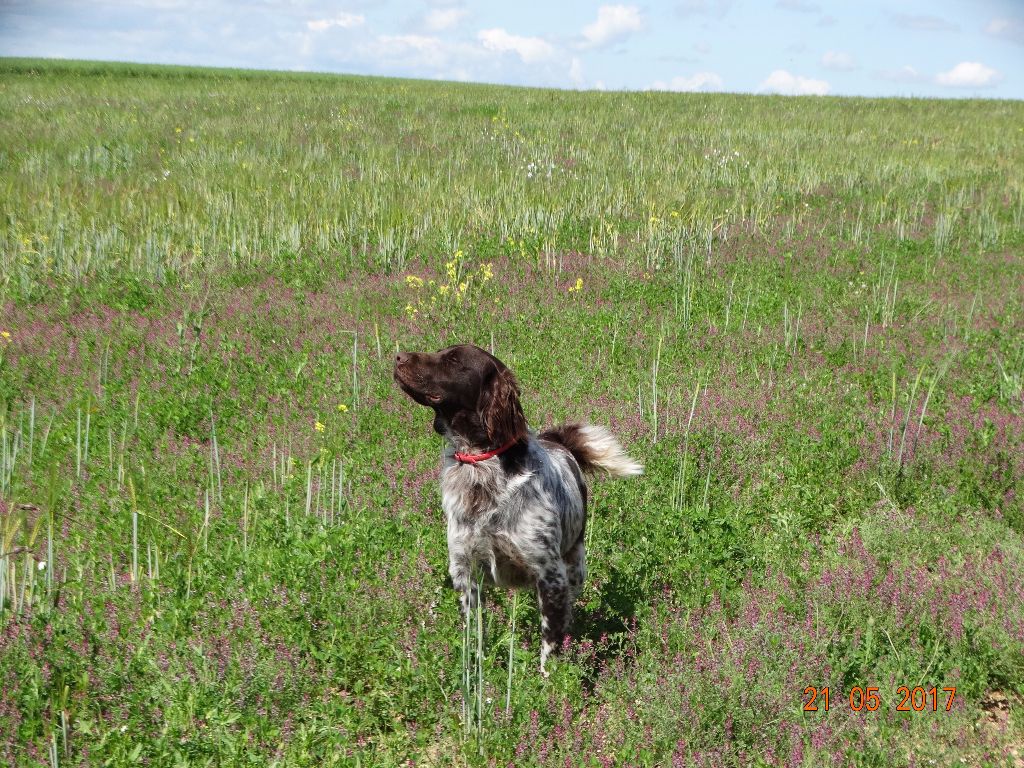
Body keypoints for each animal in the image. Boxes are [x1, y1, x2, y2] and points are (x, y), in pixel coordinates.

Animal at [393, 342, 638, 671]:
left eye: (454, 359)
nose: (397, 357)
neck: (482, 467)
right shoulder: (465, 570)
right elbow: (474, 633)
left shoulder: (551, 576)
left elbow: (550, 644)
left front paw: (547, 678)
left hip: (574, 566)